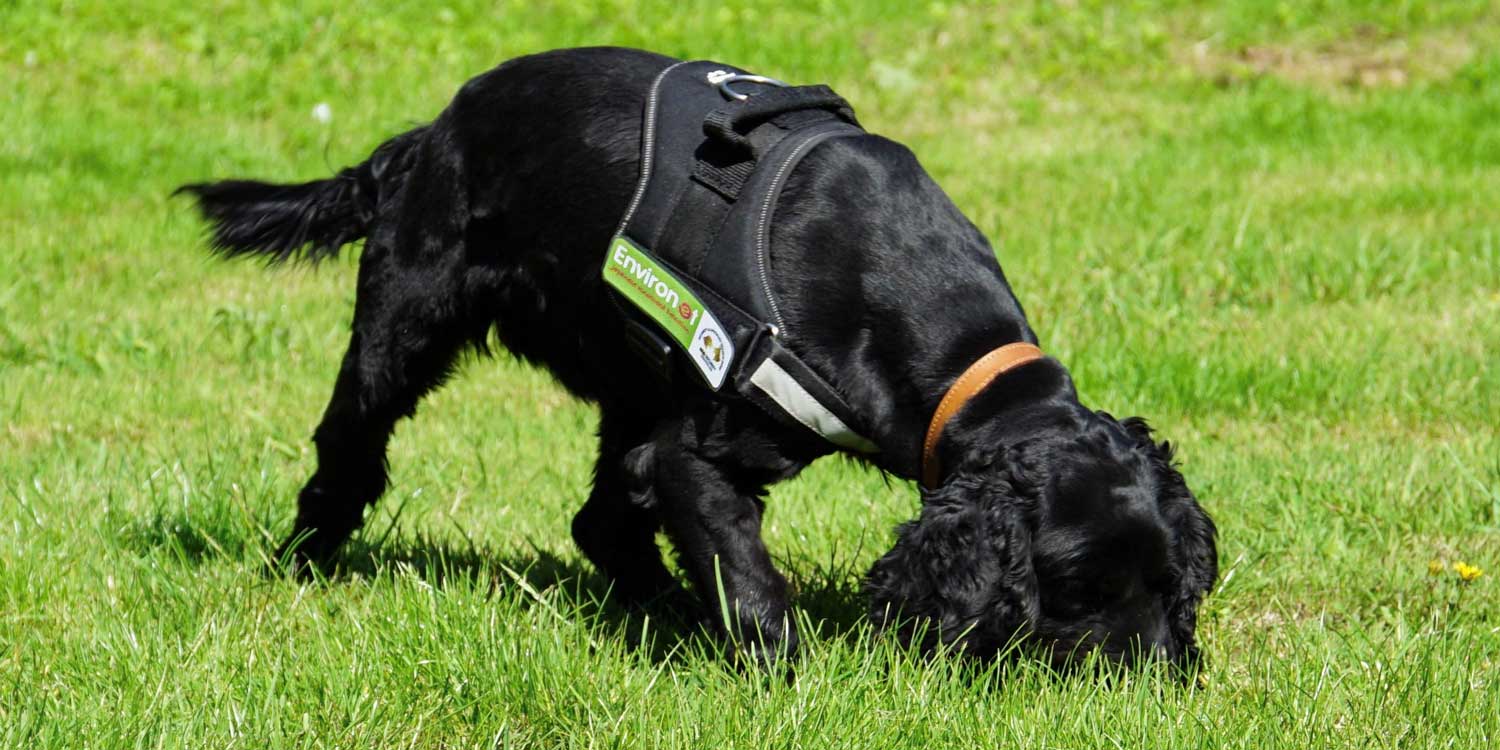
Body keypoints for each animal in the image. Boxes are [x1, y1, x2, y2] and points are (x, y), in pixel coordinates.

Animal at [184, 46, 1218, 669]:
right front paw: (786, 674)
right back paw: (305, 562)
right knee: (350, 452)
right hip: (403, 328)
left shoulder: (673, 426)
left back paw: (662, 616)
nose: (1155, 682)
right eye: (1079, 587)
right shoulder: (700, 446)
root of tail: (425, 136)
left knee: (600, 520)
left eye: (1170, 583)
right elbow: (749, 578)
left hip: (634, 376)